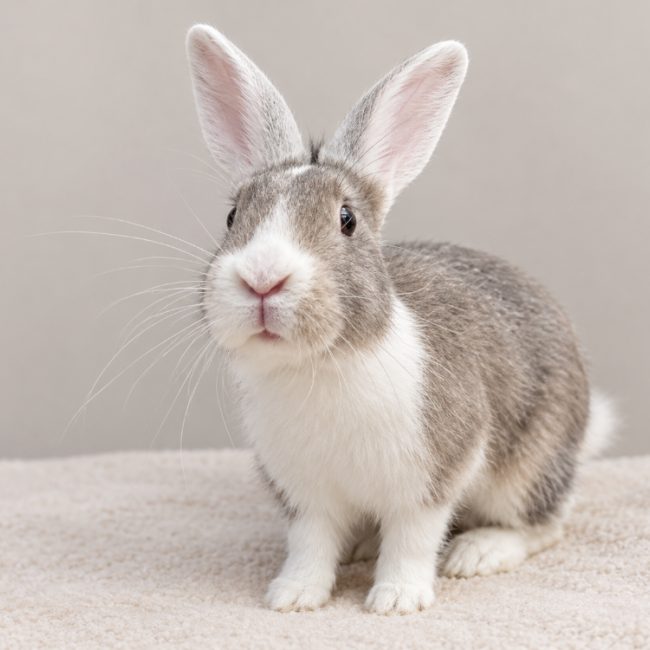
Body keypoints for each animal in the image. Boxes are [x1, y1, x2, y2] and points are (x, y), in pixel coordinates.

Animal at [186, 24, 615, 614]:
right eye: (233, 217)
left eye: (347, 219)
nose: (262, 278)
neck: (322, 365)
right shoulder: (305, 495)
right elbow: (310, 544)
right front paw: (293, 596)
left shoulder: (432, 477)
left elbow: (414, 539)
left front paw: (396, 600)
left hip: (529, 465)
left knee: (544, 524)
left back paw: (478, 553)